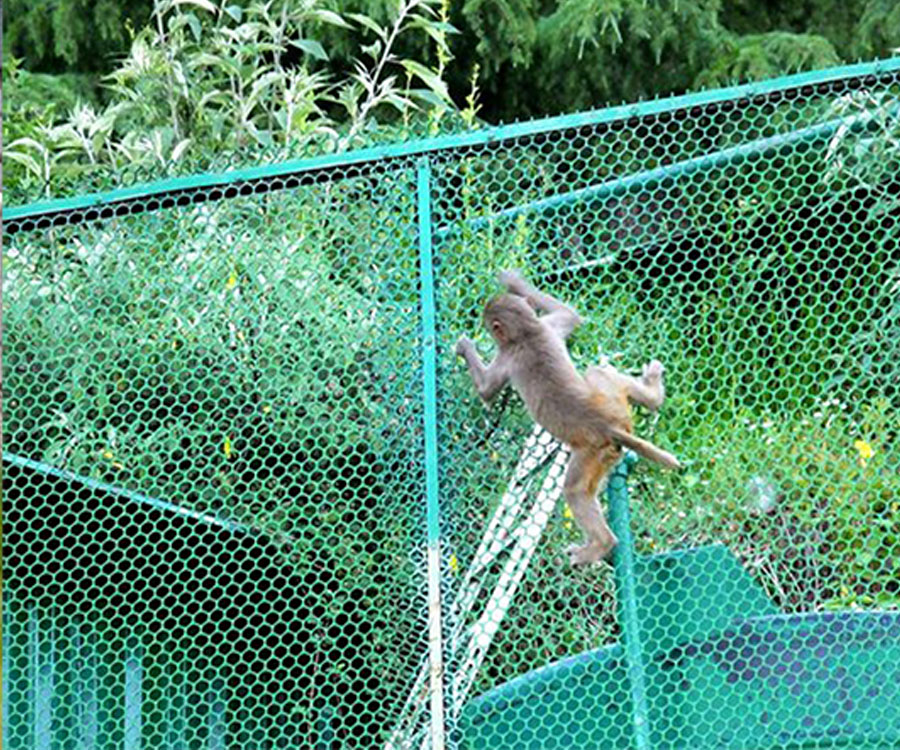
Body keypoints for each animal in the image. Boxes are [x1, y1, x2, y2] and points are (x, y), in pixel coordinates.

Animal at [455, 270, 680, 566]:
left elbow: (485, 390)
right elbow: (569, 315)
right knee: (598, 372)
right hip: (612, 403)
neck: (527, 332)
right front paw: (513, 281)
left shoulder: (507, 356)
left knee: (574, 490)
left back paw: (600, 546)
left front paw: (465, 346)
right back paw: (653, 394)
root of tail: (610, 426)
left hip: (593, 452)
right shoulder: (548, 326)